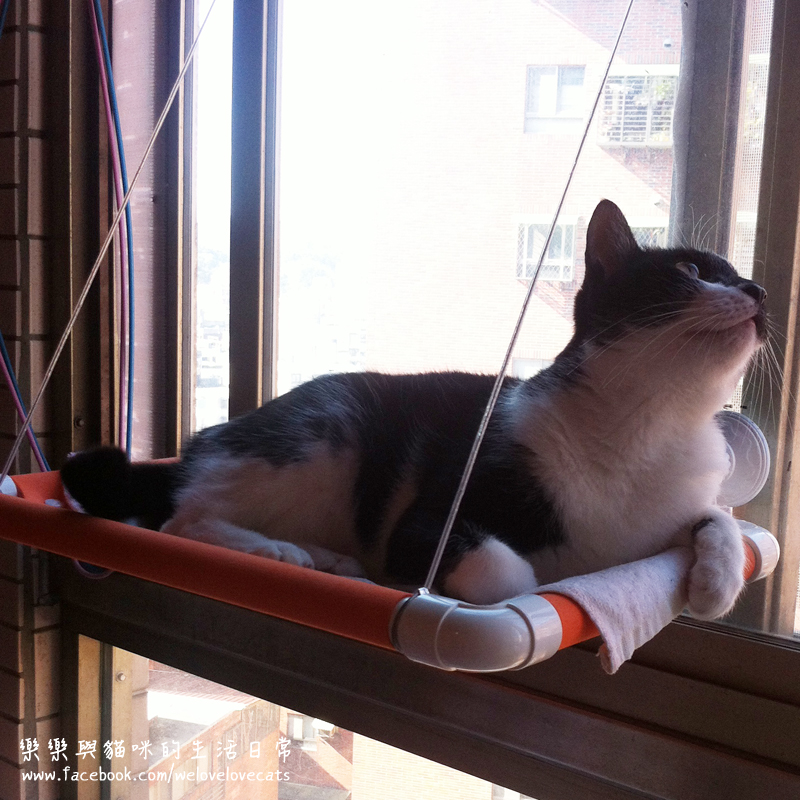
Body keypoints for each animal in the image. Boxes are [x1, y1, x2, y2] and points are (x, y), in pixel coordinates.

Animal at [61, 200, 767, 618]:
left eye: (738, 275)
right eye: (690, 271)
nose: (758, 288)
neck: (652, 426)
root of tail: (207, 433)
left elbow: (718, 516)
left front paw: (716, 582)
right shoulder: (430, 520)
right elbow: (511, 576)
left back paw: (326, 559)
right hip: (323, 430)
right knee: (185, 517)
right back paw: (282, 553)